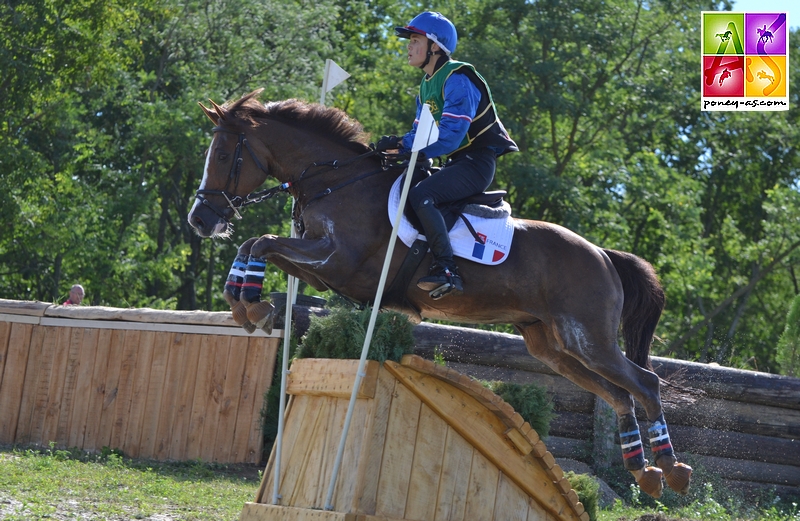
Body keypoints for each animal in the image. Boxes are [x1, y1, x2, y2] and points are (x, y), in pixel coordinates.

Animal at [186, 87, 688, 498]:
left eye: (225, 154)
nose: (200, 220)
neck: (338, 180)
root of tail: (603, 254)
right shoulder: (322, 271)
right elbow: (256, 246)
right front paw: (246, 305)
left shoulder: (337, 263)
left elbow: (262, 243)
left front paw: (253, 305)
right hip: (551, 345)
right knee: (620, 395)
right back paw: (645, 472)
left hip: (588, 338)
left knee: (644, 383)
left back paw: (671, 468)